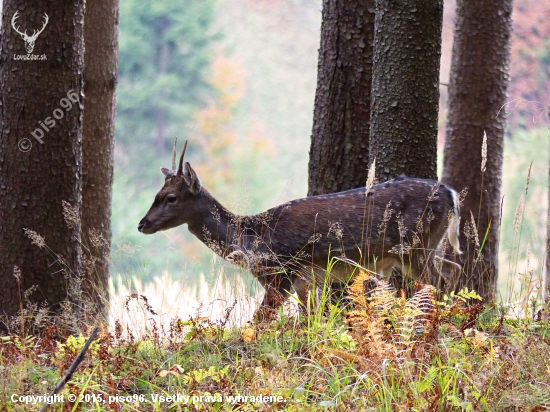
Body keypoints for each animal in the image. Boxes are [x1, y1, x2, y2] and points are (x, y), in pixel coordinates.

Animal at [138, 140, 462, 318]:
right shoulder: (303, 279)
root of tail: (451, 193)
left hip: (415, 246)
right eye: (155, 193)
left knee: (434, 282)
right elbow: (307, 316)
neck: (252, 237)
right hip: (428, 246)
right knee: (452, 269)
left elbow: (259, 321)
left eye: (171, 197)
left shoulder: (280, 273)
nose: (143, 224)